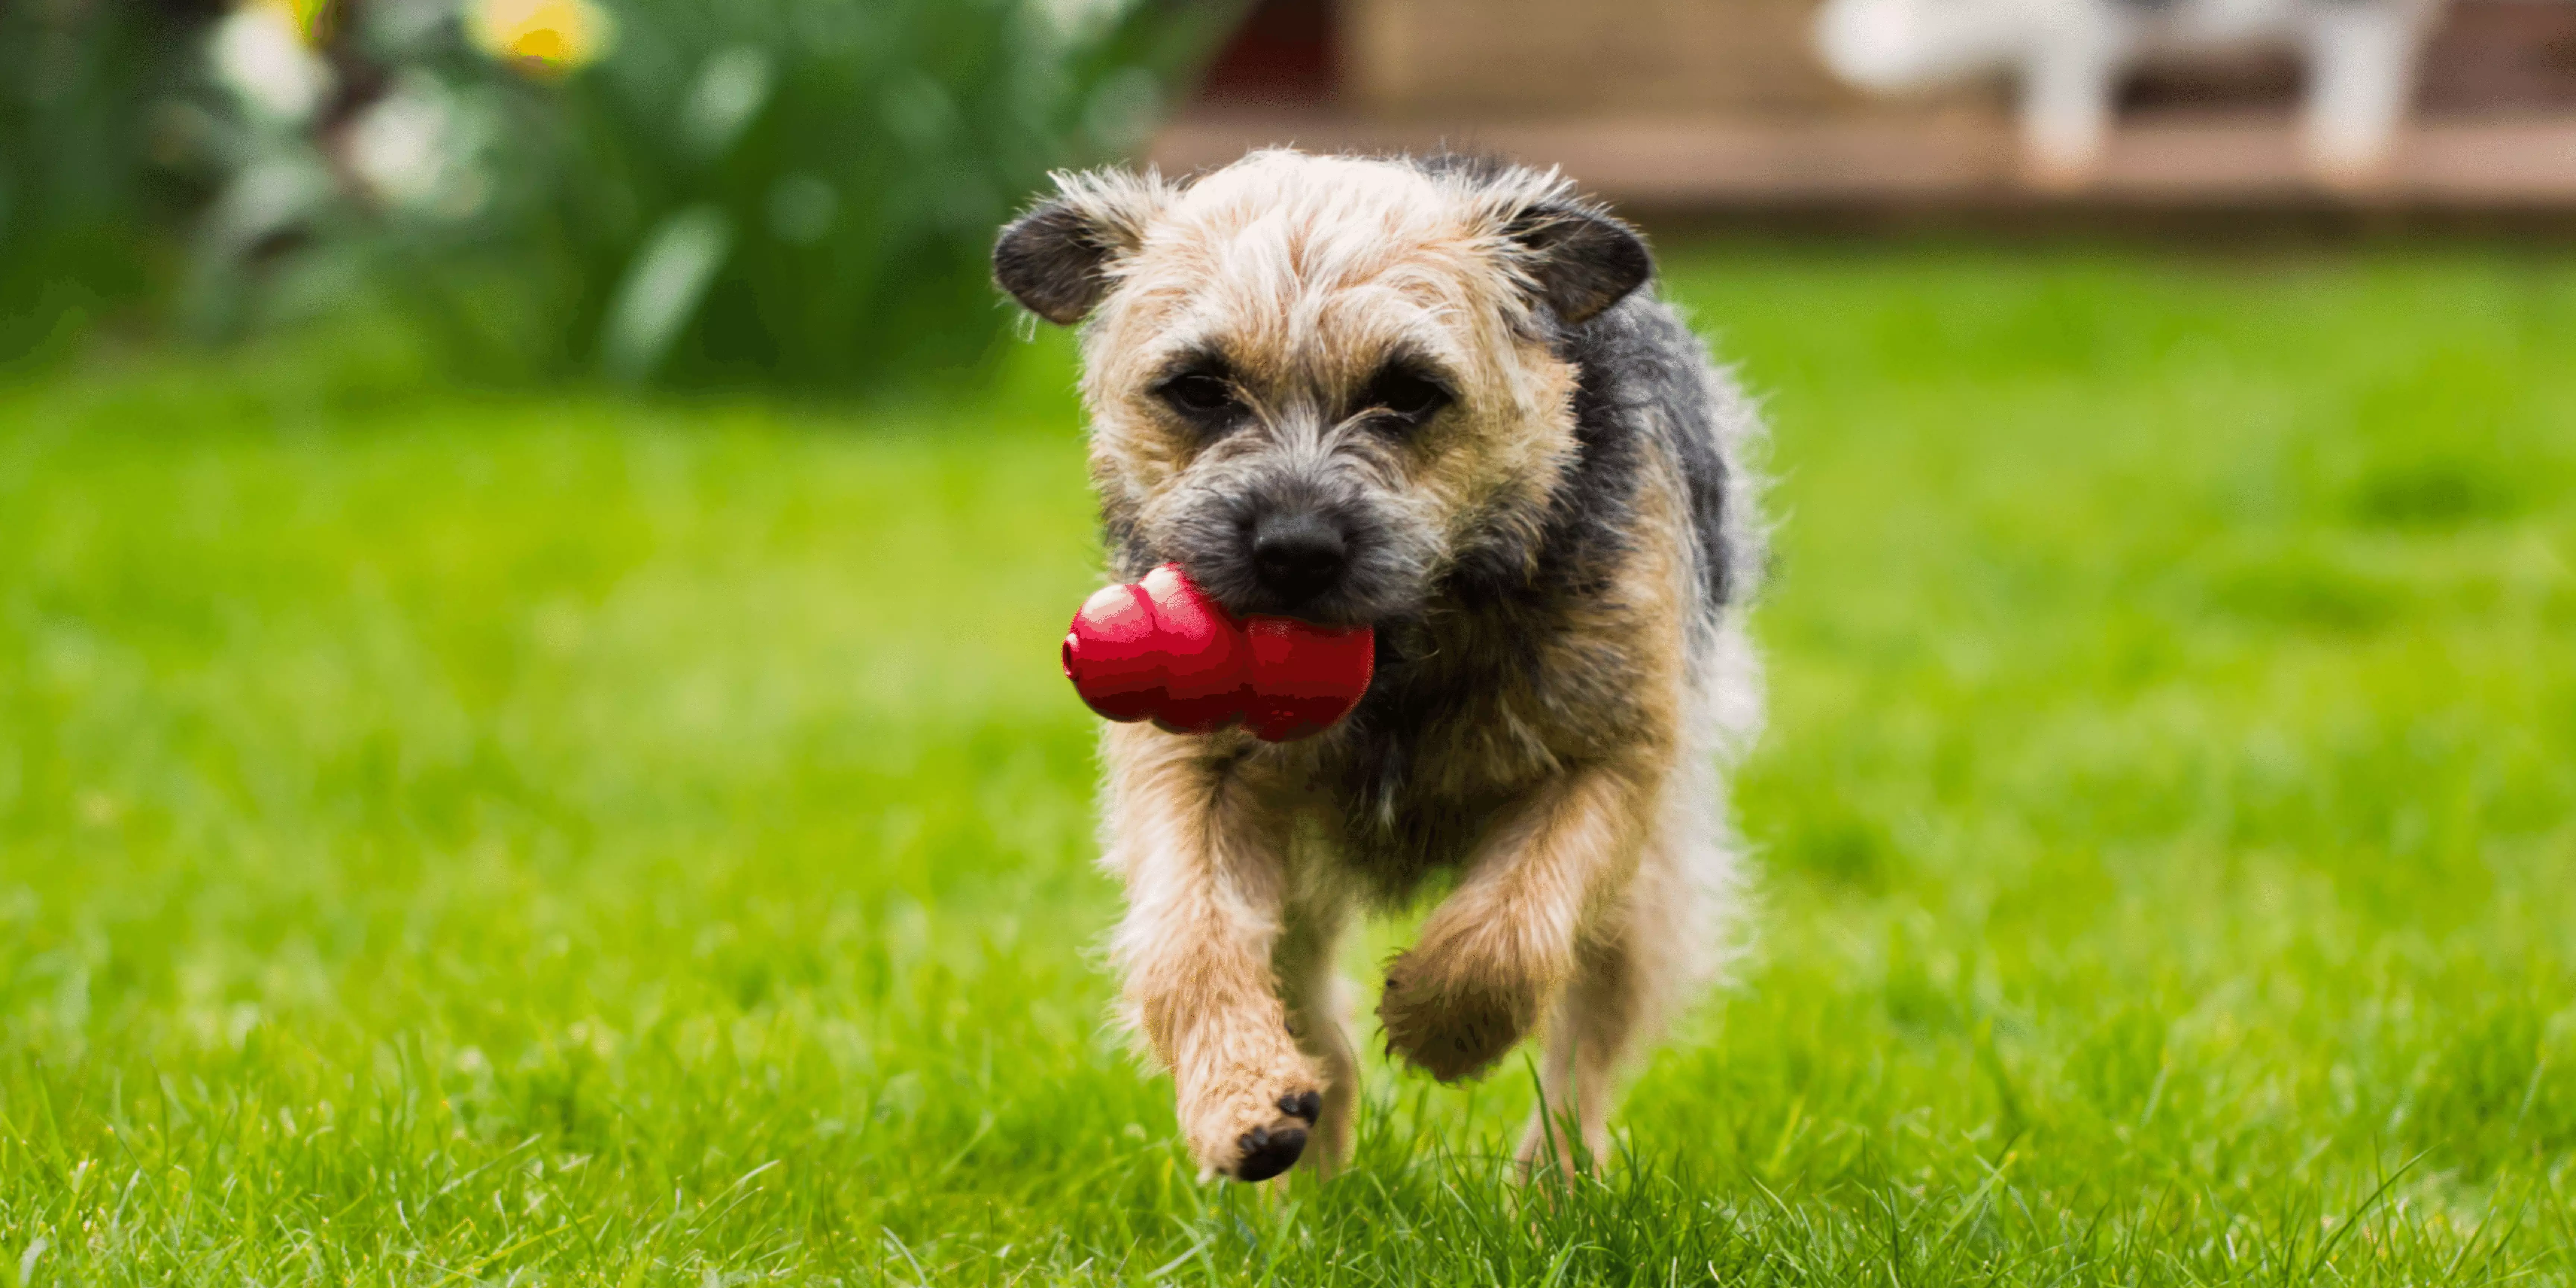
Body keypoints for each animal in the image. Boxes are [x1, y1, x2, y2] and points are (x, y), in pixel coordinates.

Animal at [989, 148, 1772, 1180]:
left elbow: (1513, 928)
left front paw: (1445, 1024)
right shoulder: (1195, 769)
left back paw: (1552, 1183)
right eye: (1199, 388)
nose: (1294, 548)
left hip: (1648, 893)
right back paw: (1308, 1159)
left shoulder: (1611, 759)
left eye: (1408, 391)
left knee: (1587, 1045)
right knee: (1307, 1002)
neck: (1400, 655)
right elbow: (1189, 937)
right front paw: (1240, 1096)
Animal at [1803, 0, 2442, 184]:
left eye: (1890, 23)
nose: (1837, 52)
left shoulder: (2074, 39)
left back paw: (2341, 156)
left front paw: (2057, 167)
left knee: (2366, 57)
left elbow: (2064, 93)